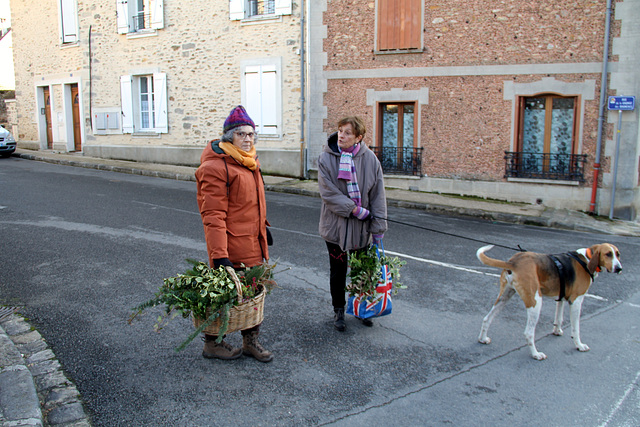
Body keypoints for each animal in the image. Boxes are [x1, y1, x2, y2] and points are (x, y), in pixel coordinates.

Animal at [476, 244, 620, 362]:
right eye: (608, 254)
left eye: (618, 254)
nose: (619, 268)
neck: (586, 259)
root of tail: (513, 262)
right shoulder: (576, 302)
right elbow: (576, 329)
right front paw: (579, 345)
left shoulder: (561, 298)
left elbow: (559, 318)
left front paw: (557, 331)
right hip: (536, 303)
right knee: (528, 333)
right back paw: (536, 354)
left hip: (504, 297)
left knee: (486, 318)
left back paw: (483, 338)